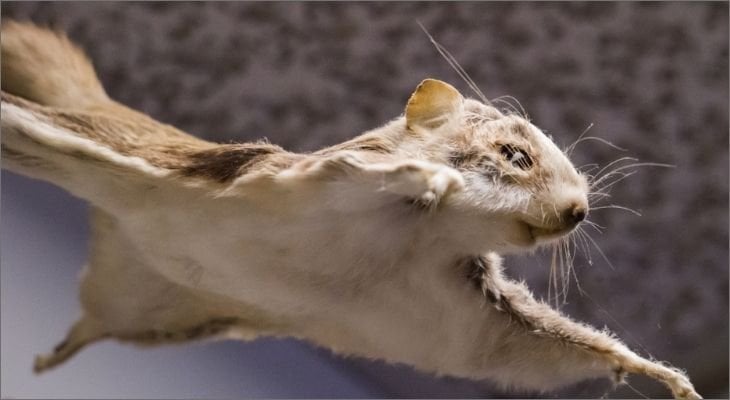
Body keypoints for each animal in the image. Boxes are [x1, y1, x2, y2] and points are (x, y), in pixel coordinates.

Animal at [0, 21, 700, 396]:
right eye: (515, 155)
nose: (579, 211)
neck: (411, 242)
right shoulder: (303, 180)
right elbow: (364, 174)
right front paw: (426, 178)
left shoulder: (470, 311)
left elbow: (538, 346)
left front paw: (656, 373)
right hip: (103, 155)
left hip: (147, 314)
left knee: (93, 327)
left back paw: (55, 354)